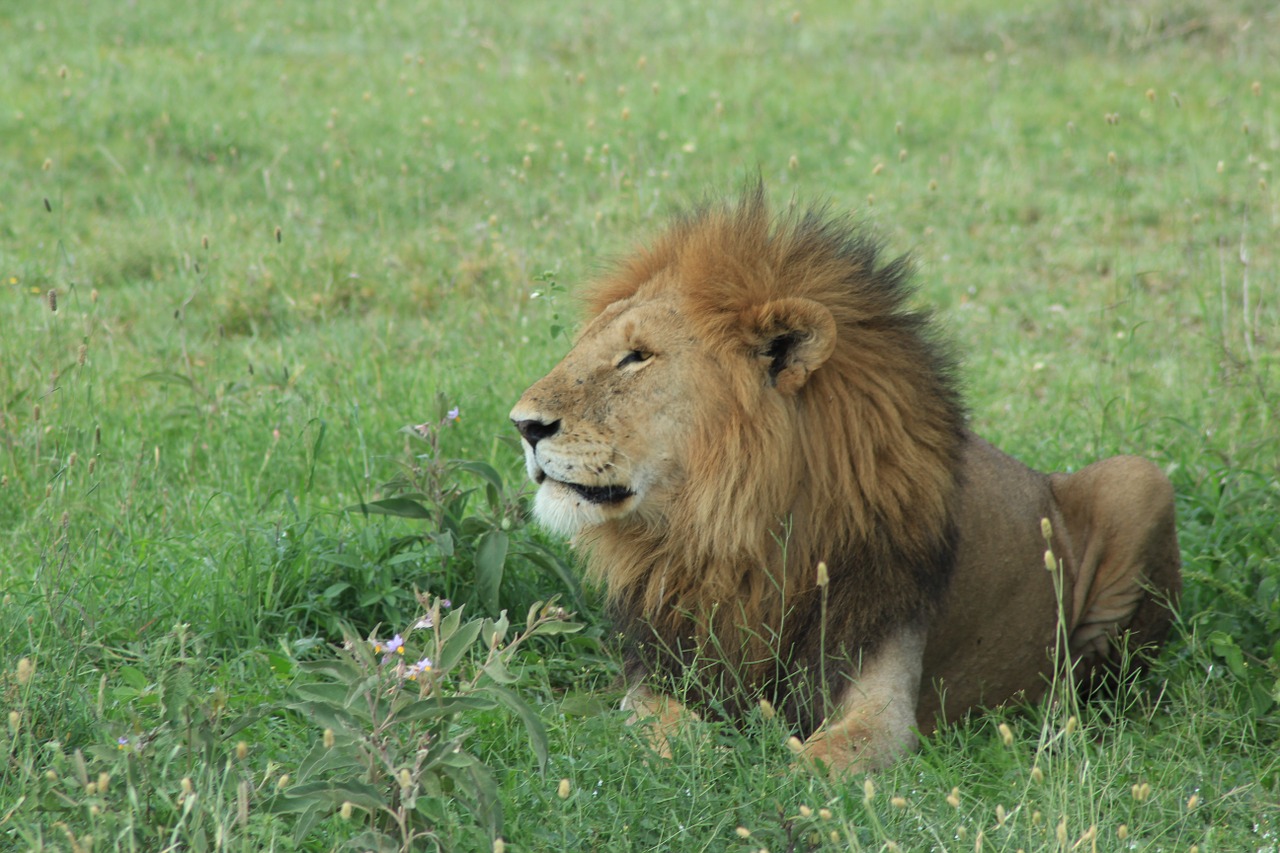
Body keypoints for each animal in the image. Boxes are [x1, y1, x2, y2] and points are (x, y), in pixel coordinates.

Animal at [506, 185, 1177, 768]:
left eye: (637, 357)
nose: (523, 425)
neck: (737, 536)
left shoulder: (884, 700)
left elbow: (814, 768)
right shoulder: (663, 670)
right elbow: (663, 729)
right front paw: (709, 753)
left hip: (1140, 478)